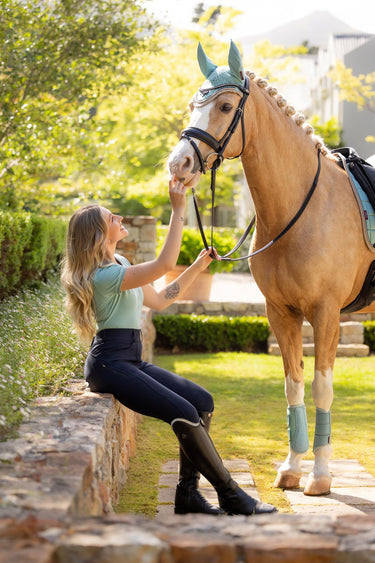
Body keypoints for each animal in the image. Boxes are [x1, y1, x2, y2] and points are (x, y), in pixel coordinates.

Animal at [169, 40, 375, 498]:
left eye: (226, 106)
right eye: (192, 104)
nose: (179, 165)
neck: (303, 208)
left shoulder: (326, 314)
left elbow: (320, 387)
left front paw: (320, 476)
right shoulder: (280, 313)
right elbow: (293, 385)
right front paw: (293, 468)